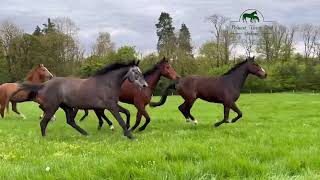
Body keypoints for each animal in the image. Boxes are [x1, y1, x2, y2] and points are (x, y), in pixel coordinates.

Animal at [12, 60, 148, 139]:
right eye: (136, 73)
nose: (145, 85)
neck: (107, 83)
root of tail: (44, 85)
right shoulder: (111, 106)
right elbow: (120, 120)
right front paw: (130, 135)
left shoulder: (113, 105)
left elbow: (127, 112)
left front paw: (128, 128)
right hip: (52, 107)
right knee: (44, 122)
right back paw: (45, 138)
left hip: (66, 107)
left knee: (70, 121)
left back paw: (86, 134)